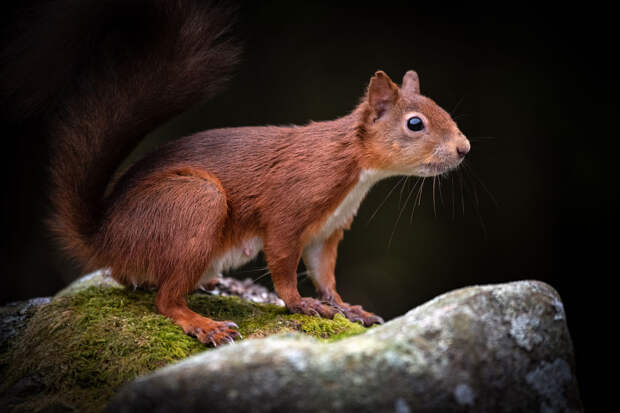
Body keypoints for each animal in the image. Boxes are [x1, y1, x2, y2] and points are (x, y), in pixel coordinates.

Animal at [19, 1, 470, 346]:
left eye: (439, 108)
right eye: (415, 124)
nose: (464, 149)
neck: (355, 169)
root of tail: (105, 239)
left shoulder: (327, 231)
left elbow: (324, 272)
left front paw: (345, 307)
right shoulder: (290, 207)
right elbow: (284, 262)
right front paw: (301, 303)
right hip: (193, 202)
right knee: (165, 300)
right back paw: (204, 325)